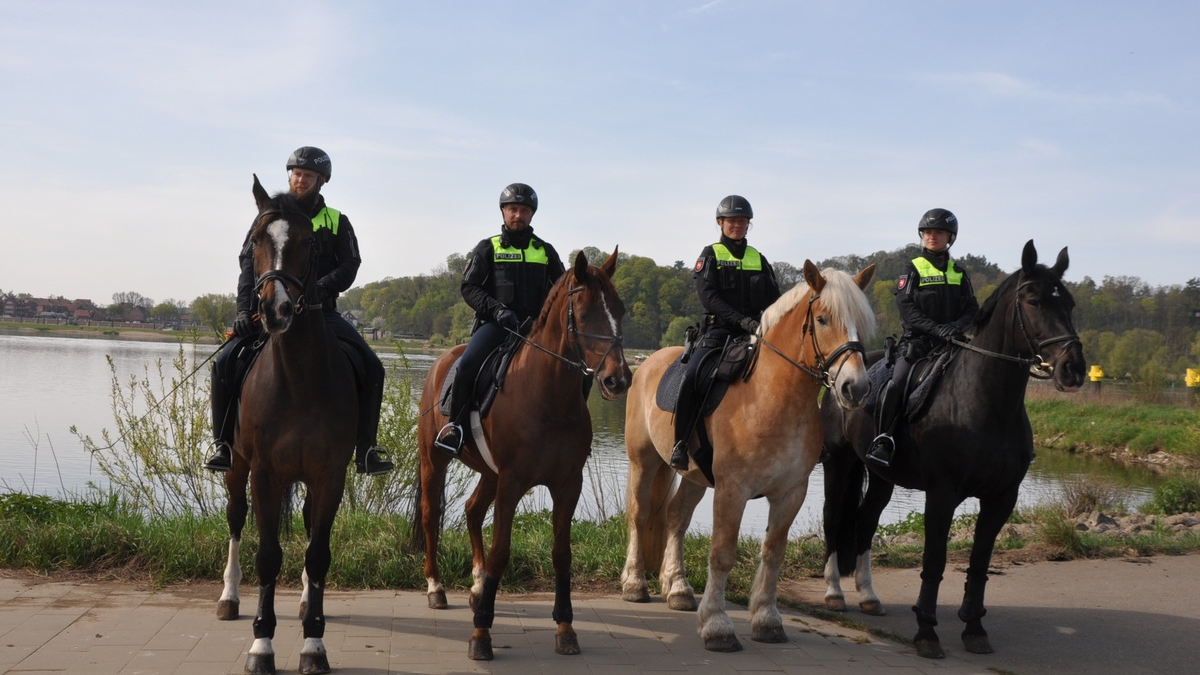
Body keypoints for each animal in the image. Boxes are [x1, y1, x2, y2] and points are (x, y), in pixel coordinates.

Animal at [214, 175, 358, 675]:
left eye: (308, 242)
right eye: (254, 241)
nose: (273, 310)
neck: (298, 378)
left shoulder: (329, 475)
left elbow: (318, 554)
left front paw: (313, 642)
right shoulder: (265, 474)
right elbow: (267, 554)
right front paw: (262, 644)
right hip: (236, 467)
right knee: (236, 520)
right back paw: (229, 597)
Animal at [414, 249, 632, 661]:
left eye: (620, 309)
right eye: (583, 314)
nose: (619, 379)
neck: (548, 396)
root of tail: (443, 360)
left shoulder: (567, 484)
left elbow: (562, 553)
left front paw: (565, 628)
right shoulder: (513, 482)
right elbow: (501, 551)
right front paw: (481, 634)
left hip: (490, 473)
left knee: (472, 510)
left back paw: (478, 585)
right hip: (434, 461)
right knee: (432, 514)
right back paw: (435, 588)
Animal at [620, 261, 877, 652]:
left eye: (861, 322)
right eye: (822, 319)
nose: (856, 388)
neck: (771, 397)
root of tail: (649, 362)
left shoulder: (790, 493)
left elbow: (773, 552)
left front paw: (767, 620)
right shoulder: (733, 490)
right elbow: (723, 552)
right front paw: (717, 625)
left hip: (695, 476)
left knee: (676, 517)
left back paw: (678, 588)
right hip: (644, 461)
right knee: (640, 513)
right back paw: (635, 583)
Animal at [820, 240, 1086, 659]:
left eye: (1069, 303)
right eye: (1033, 301)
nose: (1073, 369)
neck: (985, 403)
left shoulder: (1001, 498)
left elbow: (979, 562)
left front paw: (974, 628)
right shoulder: (942, 495)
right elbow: (935, 560)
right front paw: (927, 633)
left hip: (881, 476)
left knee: (865, 521)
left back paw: (868, 596)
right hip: (839, 463)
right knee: (833, 518)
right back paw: (834, 593)